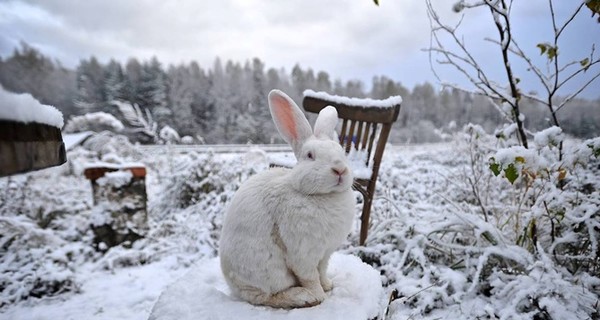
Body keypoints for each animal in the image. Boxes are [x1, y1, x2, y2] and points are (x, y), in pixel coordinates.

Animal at [220, 89, 356, 308]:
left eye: (341, 151)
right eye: (310, 155)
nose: (340, 169)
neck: (320, 196)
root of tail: (233, 286)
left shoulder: (325, 254)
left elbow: (322, 271)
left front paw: (328, 286)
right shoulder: (303, 254)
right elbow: (310, 277)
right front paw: (320, 296)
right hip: (269, 272)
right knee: (267, 297)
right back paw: (302, 297)